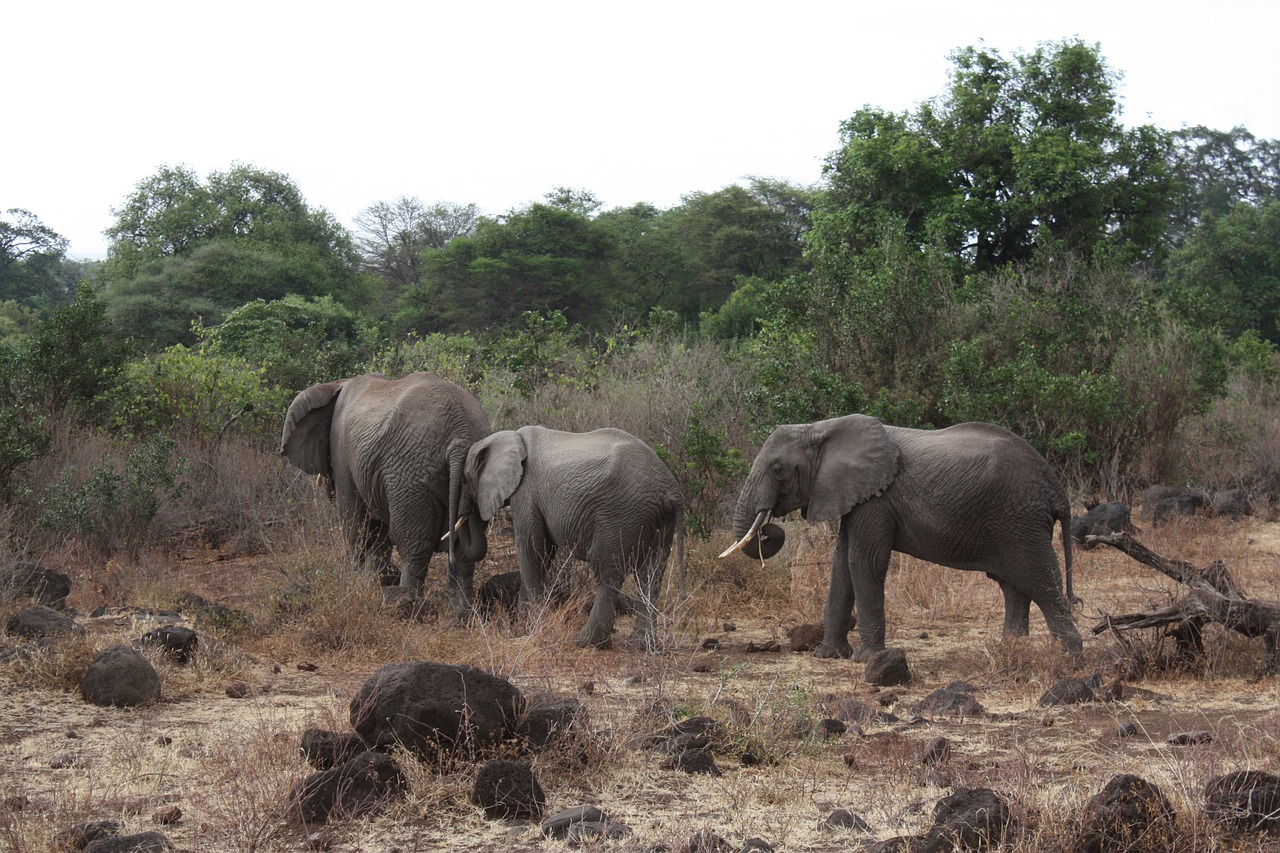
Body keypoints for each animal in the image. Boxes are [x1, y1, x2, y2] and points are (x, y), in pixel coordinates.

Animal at [280, 371, 488, 612]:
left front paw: (357, 584)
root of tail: (459, 441)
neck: (337, 385)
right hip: (472, 476)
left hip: (409, 475)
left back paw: (408, 607)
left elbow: (354, 522)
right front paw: (371, 584)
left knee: (414, 545)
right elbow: (379, 532)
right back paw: (460, 616)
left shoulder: (341, 451)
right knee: (463, 551)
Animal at [455, 422, 686, 648]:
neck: (510, 436)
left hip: (621, 514)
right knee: (651, 574)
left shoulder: (526, 491)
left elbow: (532, 550)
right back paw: (641, 645)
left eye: (465, 480)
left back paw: (586, 642)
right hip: (658, 520)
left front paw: (528, 629)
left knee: (608, 572)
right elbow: (544, 554)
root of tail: (671, 490)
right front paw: (525, 627)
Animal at [721, 414, 1080, 660]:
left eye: (777, 471)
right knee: (1013, 585)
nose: (768, 530)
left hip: (1019, 520)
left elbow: (864, 562)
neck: (822, 428)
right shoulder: (856, 496)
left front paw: (869, 659)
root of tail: (1055, 489)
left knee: (1040, 580)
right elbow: (842, 564)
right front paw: (830, 655)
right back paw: (1011, 649)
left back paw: (1069, 657)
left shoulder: (877, 499)